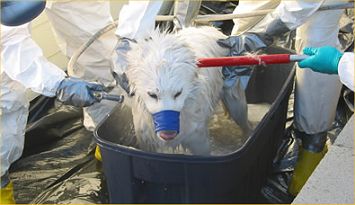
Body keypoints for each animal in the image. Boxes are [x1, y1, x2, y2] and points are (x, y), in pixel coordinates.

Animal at [119, 26, 250, 155]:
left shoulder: (197, 138)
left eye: (178, 93)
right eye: (153, 95)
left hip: (235, 97)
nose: (168, 134)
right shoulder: (146, 139)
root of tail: (215, 29)